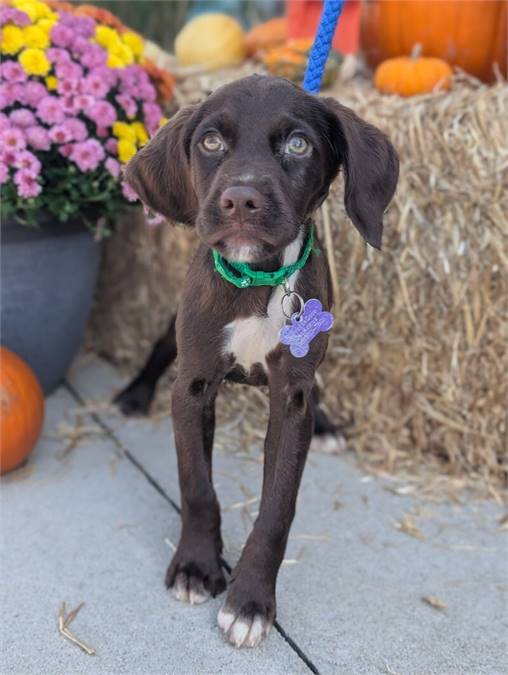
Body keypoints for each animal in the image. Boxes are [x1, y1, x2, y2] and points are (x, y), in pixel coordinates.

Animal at [122, 75, 396, 648]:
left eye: (298, 144)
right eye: (210, 141)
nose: (241, 199)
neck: (259, 281)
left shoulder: (291, 399)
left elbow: (277, 508)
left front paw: (249, 602)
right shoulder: (193, 385)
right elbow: (196, 485)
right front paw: (196, 567)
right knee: (159, 348)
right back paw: (134, 393)